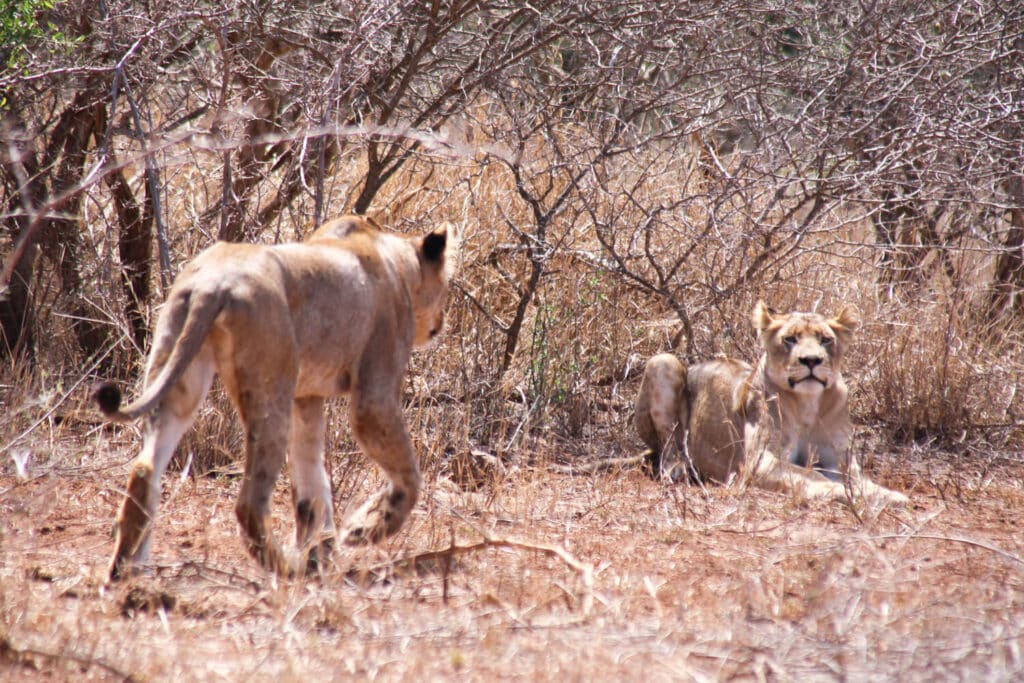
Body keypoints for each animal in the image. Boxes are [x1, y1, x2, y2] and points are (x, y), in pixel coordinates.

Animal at [94, 215, 459, 580]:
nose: (442, 322)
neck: (395, 257)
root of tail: (213, 284)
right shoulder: (374, 395)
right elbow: (408, 475)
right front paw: (361, 530)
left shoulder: (306, 397)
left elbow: (312, 485)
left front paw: (320, 556)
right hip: (271, 388)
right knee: (249, 501)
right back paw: (284, 567)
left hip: (179, 373)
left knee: (145, 469)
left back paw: (127, 569)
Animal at [634, 302, 907, 506]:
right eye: (790, 339)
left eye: (825, 340)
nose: (811, 360)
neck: (808, 404)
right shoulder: (760, 462)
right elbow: (811, 475)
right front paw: (848, 493)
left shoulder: (840, 459)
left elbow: (856, 479)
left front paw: (888, 494)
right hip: (663, 361)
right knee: (668, 449)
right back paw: (679, 469)